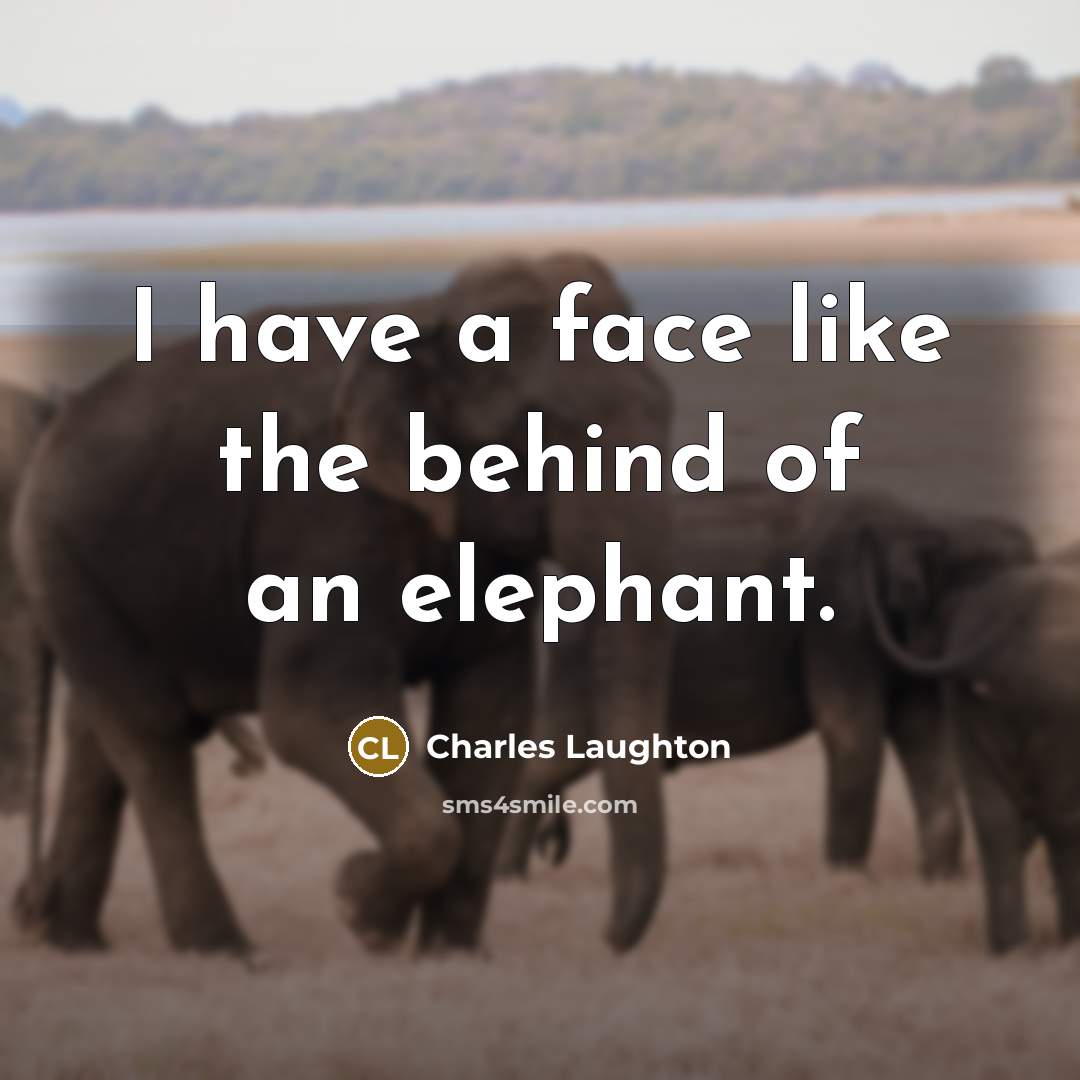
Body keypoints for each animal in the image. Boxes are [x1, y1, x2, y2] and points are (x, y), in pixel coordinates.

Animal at [12, 252, 674, 953]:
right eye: (543, 426)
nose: (609, 937)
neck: (434, 323)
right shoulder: (329, 515)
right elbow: (311, 710)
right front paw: (361, 911)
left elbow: (488, 715)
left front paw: (446, 956)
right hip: (57, 556)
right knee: (153, 734)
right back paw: (223, 952)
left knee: (99, 734)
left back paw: (69, 937)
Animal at [496, 484, 1035, 881]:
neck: (932, 521)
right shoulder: (840, 620)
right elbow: (852, 732)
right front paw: (846, 879)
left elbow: (925, 736)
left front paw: (941, 879)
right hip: (583, 664)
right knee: (555, 759)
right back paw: (508, 877)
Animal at [873, 543, 1080, 953]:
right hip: (1058, 704)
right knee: (1063, 820)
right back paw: (1068, 940)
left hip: (965, 705)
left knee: (994, 819)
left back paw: (1010, 947)